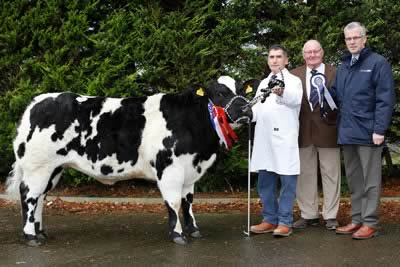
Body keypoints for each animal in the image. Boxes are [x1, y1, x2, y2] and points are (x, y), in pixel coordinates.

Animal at [6, 75, 253, 247]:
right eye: (219, 93)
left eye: (243, 91)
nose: (245, 108)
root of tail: (37, 101)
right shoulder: (169, 168)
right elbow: (173, 202)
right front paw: (177, 234)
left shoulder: (190, 169)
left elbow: (188, 201)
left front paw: (193, 229)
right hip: (38, 166)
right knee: (28, 195)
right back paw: (31, 236)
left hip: (54, 168)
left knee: (40, 197)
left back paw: (40, 232)